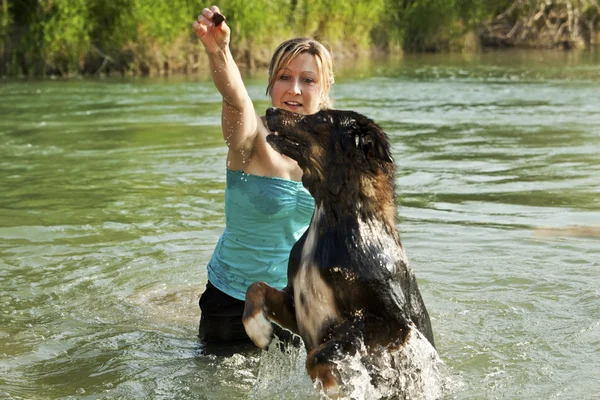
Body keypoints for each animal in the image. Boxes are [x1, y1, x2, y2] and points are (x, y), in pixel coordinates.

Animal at [241, 107, 434, 394]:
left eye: (320, 118)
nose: (270, 110)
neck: (332, 217)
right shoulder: (296, 303)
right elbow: (256, 287)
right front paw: (260, 330)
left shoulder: (393, 324)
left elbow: (321, 352)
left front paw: (334, 383)